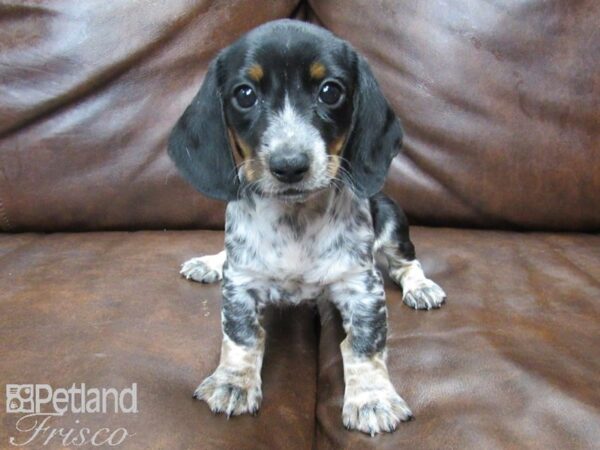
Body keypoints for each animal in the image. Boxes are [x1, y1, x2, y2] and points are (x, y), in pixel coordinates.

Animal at [169, 18, 446, 436]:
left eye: (330, 91)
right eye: (245, 94)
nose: (289, 165)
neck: (295, 220)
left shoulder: (362, 288)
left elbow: (363, 346)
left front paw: (372, 399)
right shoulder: (241, 282)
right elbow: (242, 335)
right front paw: (234, 382)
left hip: (391, 218)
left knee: (406, 263)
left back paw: (421, 286)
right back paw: (209, 262)